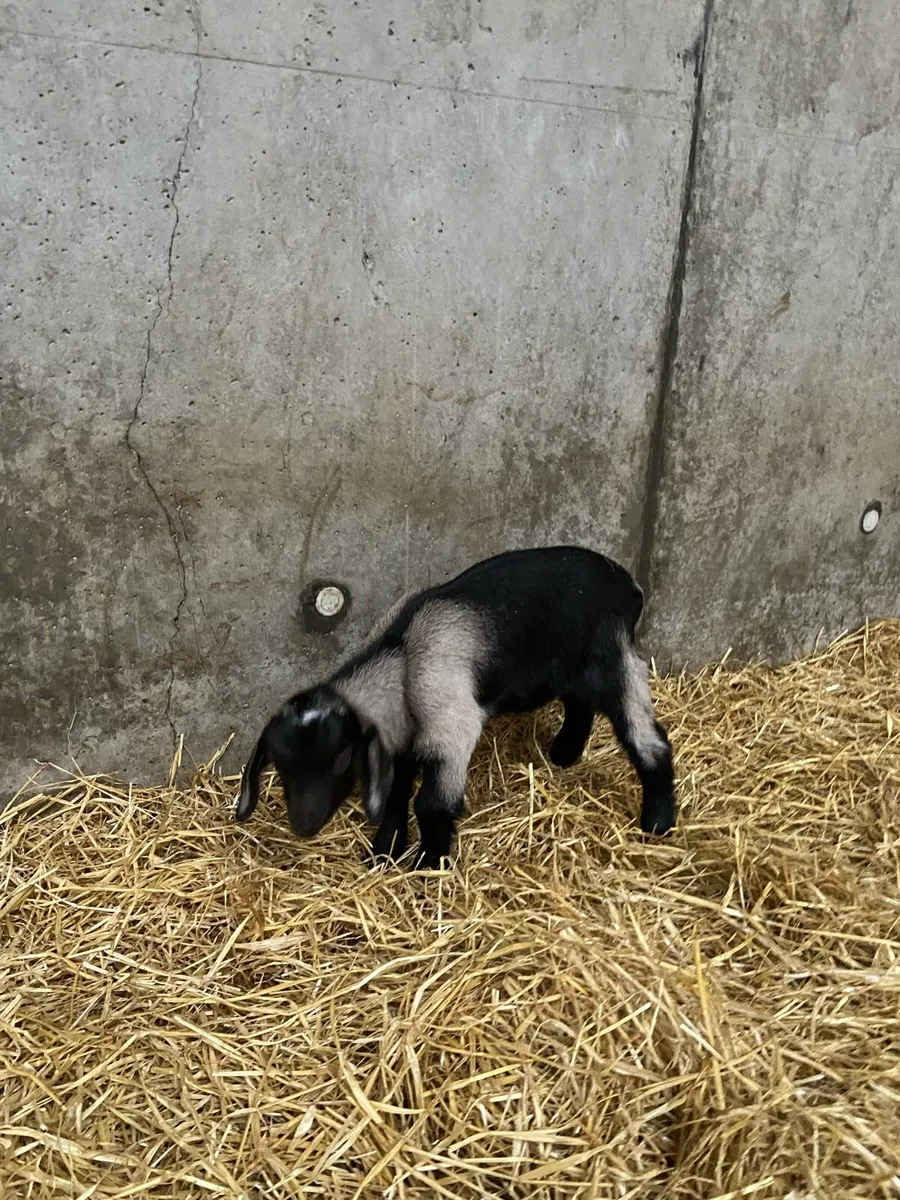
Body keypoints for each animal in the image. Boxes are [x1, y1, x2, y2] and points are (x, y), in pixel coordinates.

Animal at [236, 546, 676, 868]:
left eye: (343, 759)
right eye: (279, 765)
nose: (303, 826)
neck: (401, 657)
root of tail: (628, 585)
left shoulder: (451, 726)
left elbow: (431, 805)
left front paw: (429, 864)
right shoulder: (398, 744)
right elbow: (394, 798)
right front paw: (383, 855)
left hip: (612, 660)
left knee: (648, 739)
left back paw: (657, 822)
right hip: (568, 667)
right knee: (580, 705)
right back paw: (564, 754)